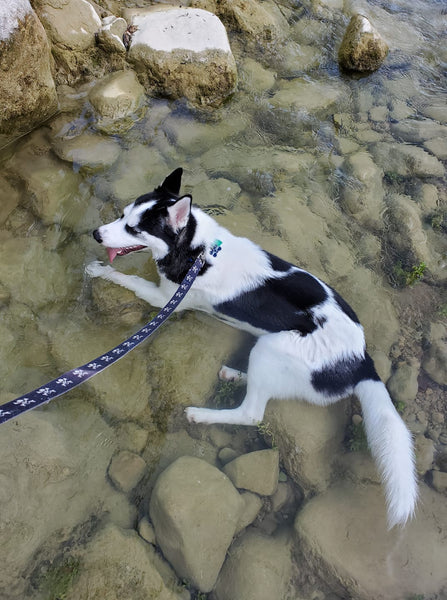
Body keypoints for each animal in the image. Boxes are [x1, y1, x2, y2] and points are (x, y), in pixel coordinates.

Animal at [87, 166, 416, 528]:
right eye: (122, 215)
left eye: (134, 228)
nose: (96, 234)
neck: (197, 250)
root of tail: (361, 360)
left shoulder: (164, 299)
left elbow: (128, 279)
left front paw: (99, 270)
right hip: (270, 353)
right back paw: (234, 374)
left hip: (273, 348)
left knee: (251, 412)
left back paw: (202, 414)